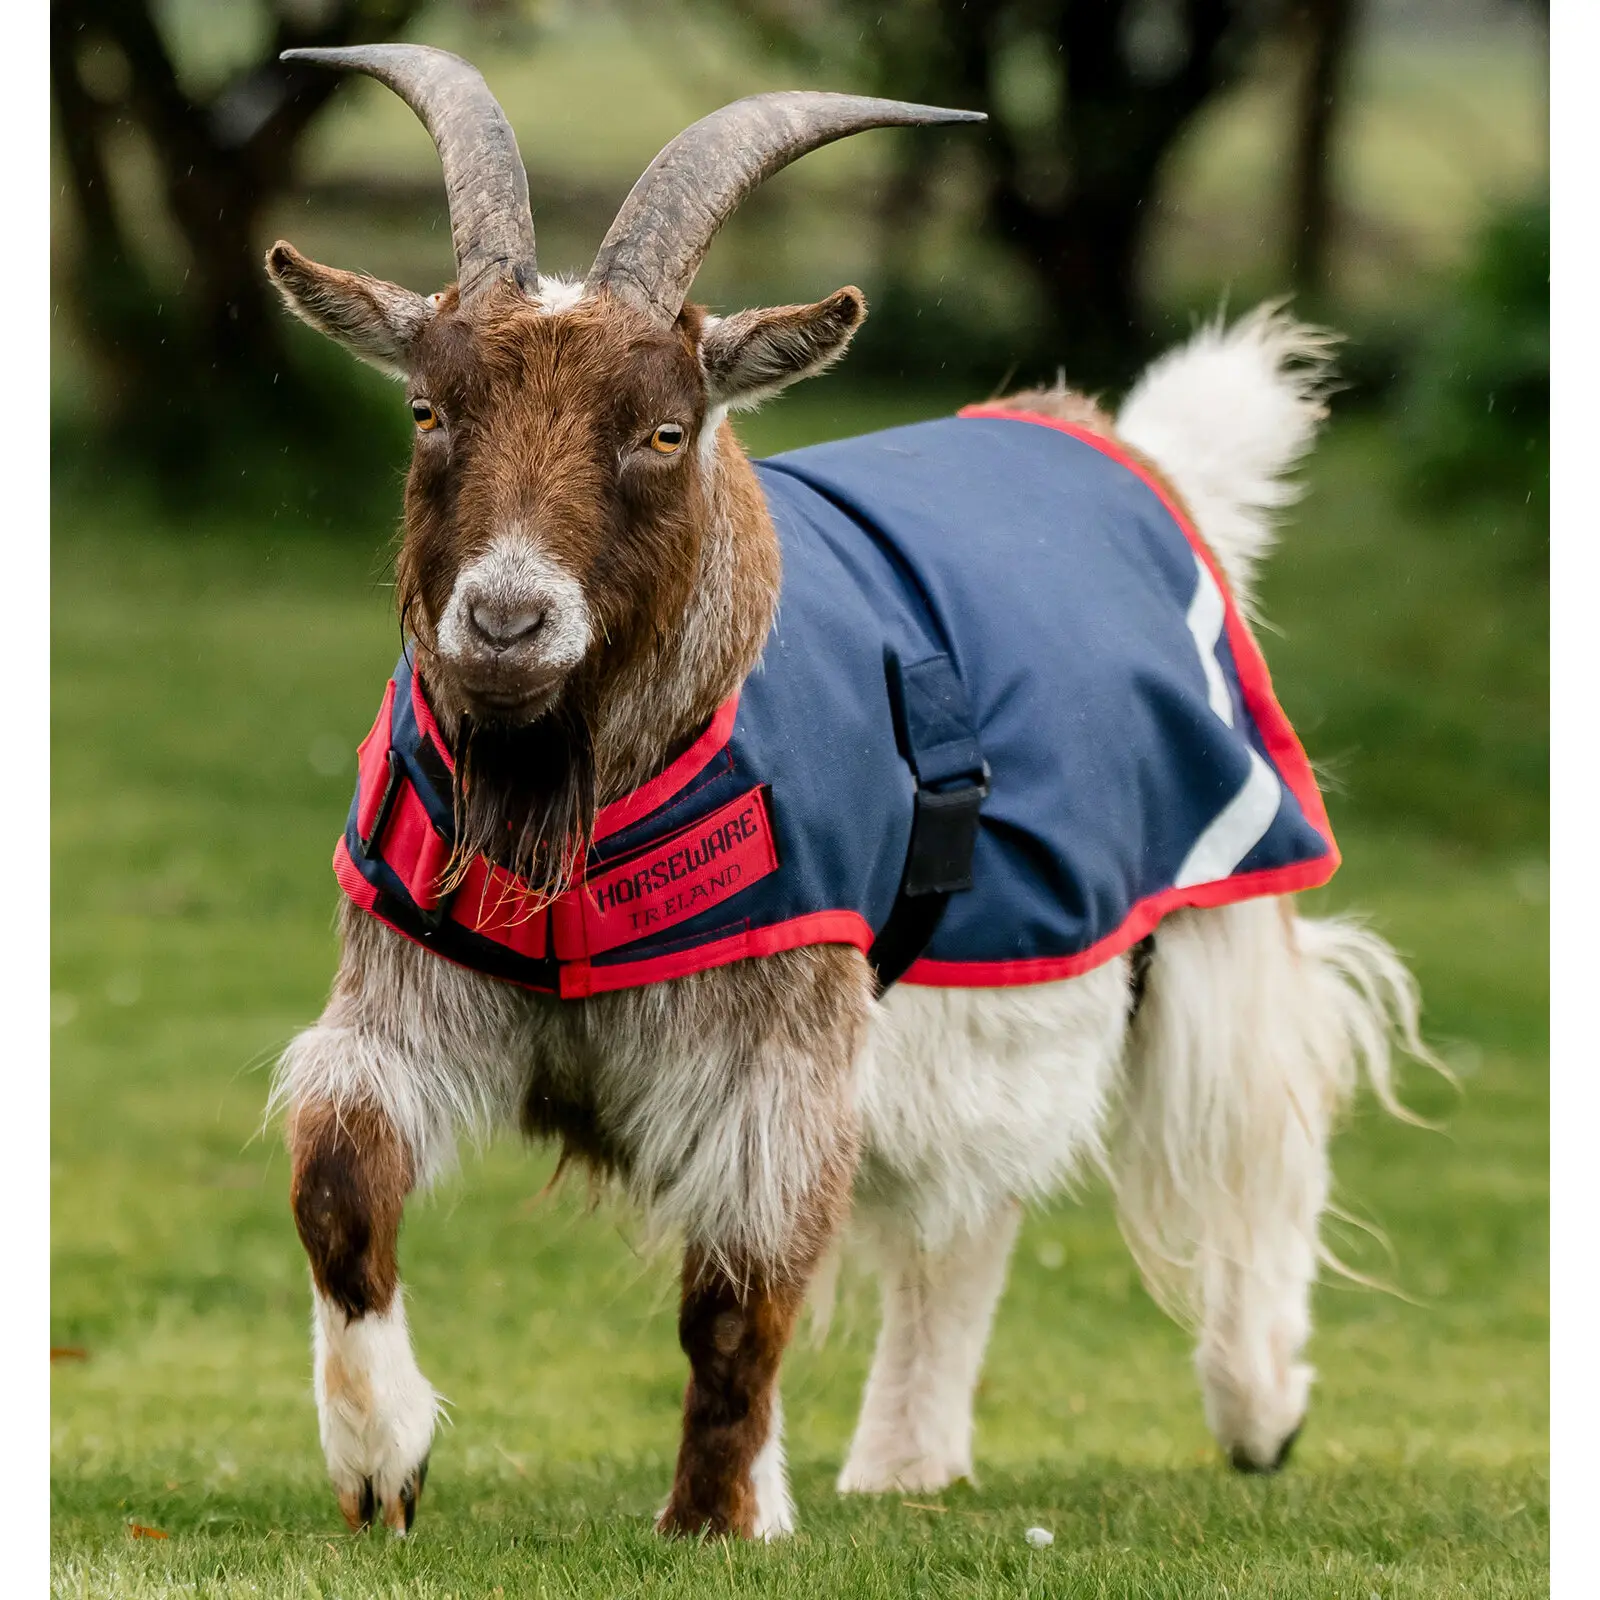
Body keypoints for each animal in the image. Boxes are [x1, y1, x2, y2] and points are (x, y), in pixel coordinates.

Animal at [265, 44, 1430, 1540]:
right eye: (427, 412)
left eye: (665, 429)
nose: (507, 621)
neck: (583, 798)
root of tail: (1119, 441)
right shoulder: (419, 975)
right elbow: (340, 1173)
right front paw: (381, 1459)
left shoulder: (784, 1029)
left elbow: (740, 1287)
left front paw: (713, 1518)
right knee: (970, 1206)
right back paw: (905, 1456)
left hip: (1214, 899)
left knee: (1258, 1125)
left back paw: (1260, 1403)